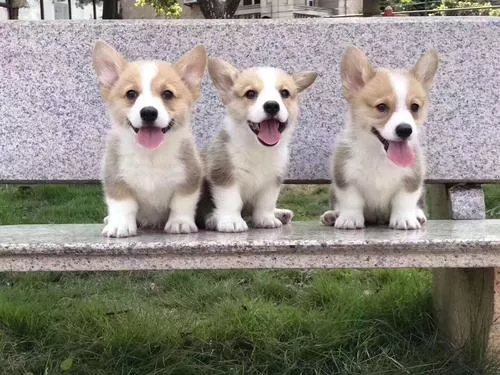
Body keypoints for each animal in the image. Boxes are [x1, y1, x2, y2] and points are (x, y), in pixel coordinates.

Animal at [93, 41, 207, 238]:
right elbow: (123, 205)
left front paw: (180, 223)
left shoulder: (189, 179)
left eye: (167, 94)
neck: (150, 154)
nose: (148, 112)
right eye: (131, 94)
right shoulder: (115, 178)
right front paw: (120, 225)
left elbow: (181, 203)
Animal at [196, 59, 316, 232]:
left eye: (285, 93)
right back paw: (213, 219)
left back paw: (280, 213)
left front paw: (266, 219)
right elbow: (231, 201)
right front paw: (232, 221)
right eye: (250, 93)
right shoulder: (224, 174)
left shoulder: (273, 181)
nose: (272, 105)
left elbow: (266, 203)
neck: (259, 149)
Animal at [320, 48, 438, 231]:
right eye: (381, 107)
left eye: (415, 107)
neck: (379, 155)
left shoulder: (412, 178)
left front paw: (405, 219)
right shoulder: (344, 176)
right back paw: (332, 216)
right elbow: (351, 200)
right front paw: (349, 219)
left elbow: (404, 201)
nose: (405, 130)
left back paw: (418, 215)